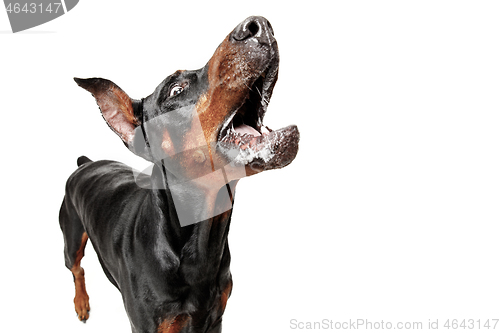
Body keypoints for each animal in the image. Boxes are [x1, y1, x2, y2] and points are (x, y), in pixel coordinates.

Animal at [60, 16, 298, 332]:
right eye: (176, 90)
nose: (258, 25)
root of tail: (85, 163)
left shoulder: (216, 318)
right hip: (71, 235)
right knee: (76, 269)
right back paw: (81, 302)